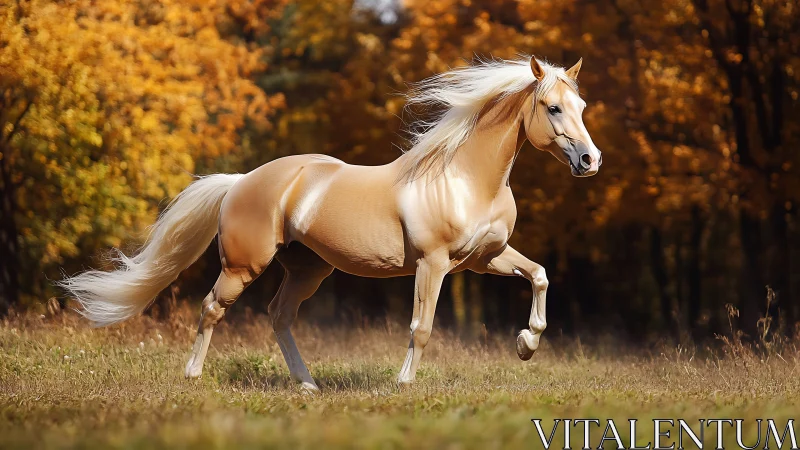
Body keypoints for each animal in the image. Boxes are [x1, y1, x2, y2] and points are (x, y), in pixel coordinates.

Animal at [59, 56, 602, 390]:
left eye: (581, 106)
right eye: (553, 107)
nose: (590, 160)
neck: (464, 178)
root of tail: (240, 181)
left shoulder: (484, 259)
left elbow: (539, 276)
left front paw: (526, 345)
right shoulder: (433, 264)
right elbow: (421, 326)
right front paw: (403, 383)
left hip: (307, 270)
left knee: (279, 316)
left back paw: (308, 385)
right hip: (244, 266)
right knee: (212, 308)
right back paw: (194, 376)